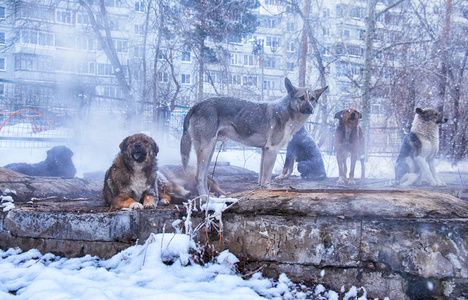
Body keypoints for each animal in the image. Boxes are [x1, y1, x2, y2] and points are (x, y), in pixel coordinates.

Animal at [181, 77, 328, 196]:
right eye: (301, 98)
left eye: (312, 99)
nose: (310, 109)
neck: (287, 112)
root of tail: (198, 104)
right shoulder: (272, 150)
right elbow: (267, 178)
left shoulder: (264, 151)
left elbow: (261, 179)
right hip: (205, 150)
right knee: (198, 177)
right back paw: (205, 199)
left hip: (210, 151)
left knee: (205, 176)